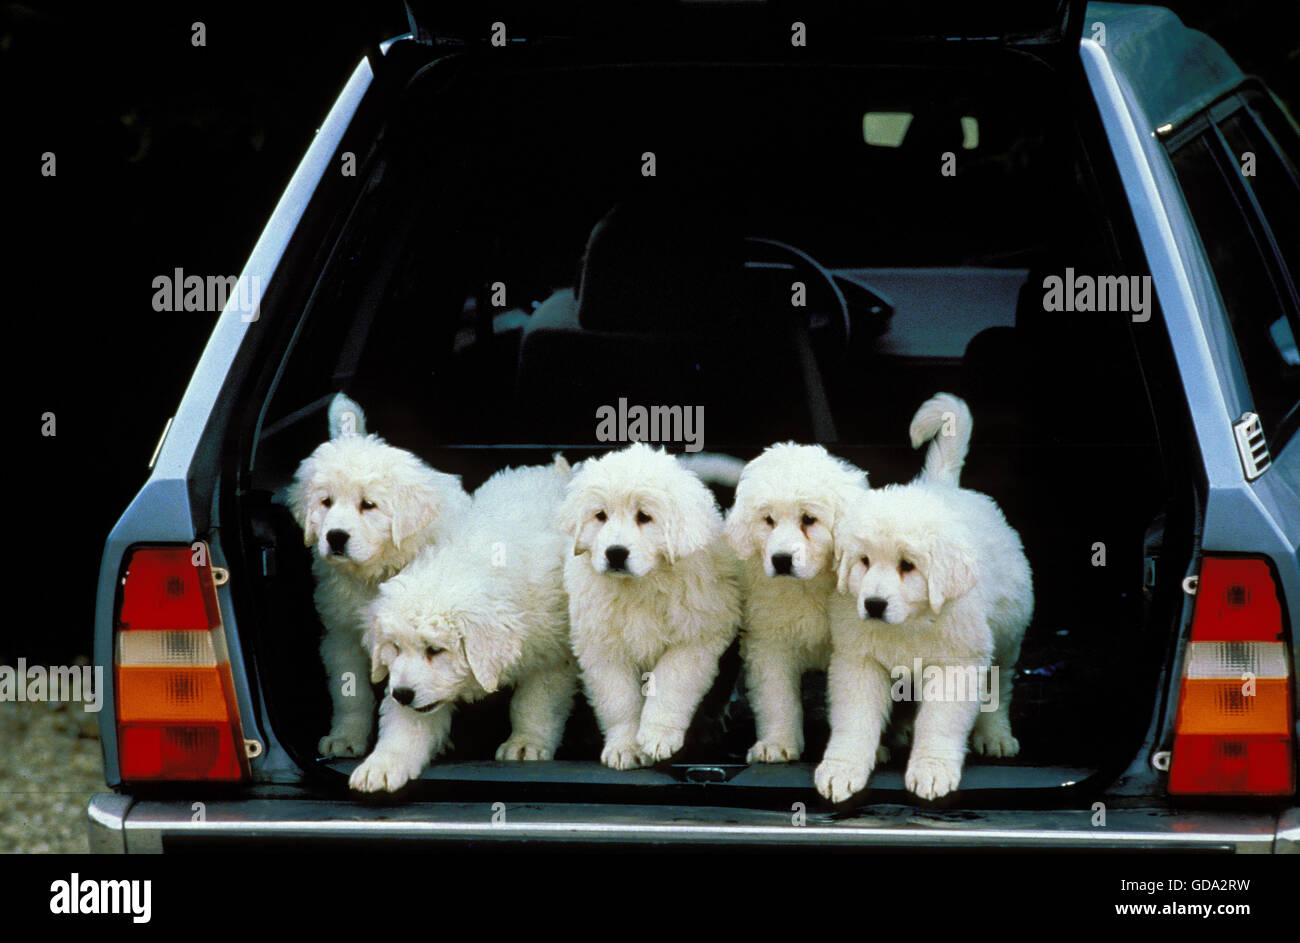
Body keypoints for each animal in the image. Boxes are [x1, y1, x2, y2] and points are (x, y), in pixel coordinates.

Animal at [287, 395, 470, 759]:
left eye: (368, 505)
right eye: (325, 502)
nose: (335, 537)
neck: (377, 572)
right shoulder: (341, 633)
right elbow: (350, 692)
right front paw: (345, 738)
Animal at [351, 452, 574, 790]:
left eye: (435, 650)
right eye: (395, 648)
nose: (402, 694)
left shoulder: (552, 652)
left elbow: (536, 702)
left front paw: (526, 743)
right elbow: (406, 725)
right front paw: (382, 765)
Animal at [559, 444, 743, 770]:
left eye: (644, 517)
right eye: (600, 516)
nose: (615, 553)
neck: (642, 584)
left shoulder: (696, 637)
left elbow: (670, 683)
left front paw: (658, 737)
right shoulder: (602, 646)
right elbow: (619, 698)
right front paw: (624, 746)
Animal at [728, 390, 972, 764]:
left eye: (809, 519)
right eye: (767, 520)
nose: (780, 560)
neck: (809, 586)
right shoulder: (770, 639)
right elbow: (777, 695)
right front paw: (777, 743)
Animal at [816, 470, 1029, 801]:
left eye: (907, 565)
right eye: (864, 560)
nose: (873, 604)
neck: (909, 622)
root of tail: (940, 483)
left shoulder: (955, 664)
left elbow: (938, 722)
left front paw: (932, 770)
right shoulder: (859, 660)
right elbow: (854, 719)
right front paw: (842, 768)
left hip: (1007, 637)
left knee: (999, 687)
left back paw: (996, 735)